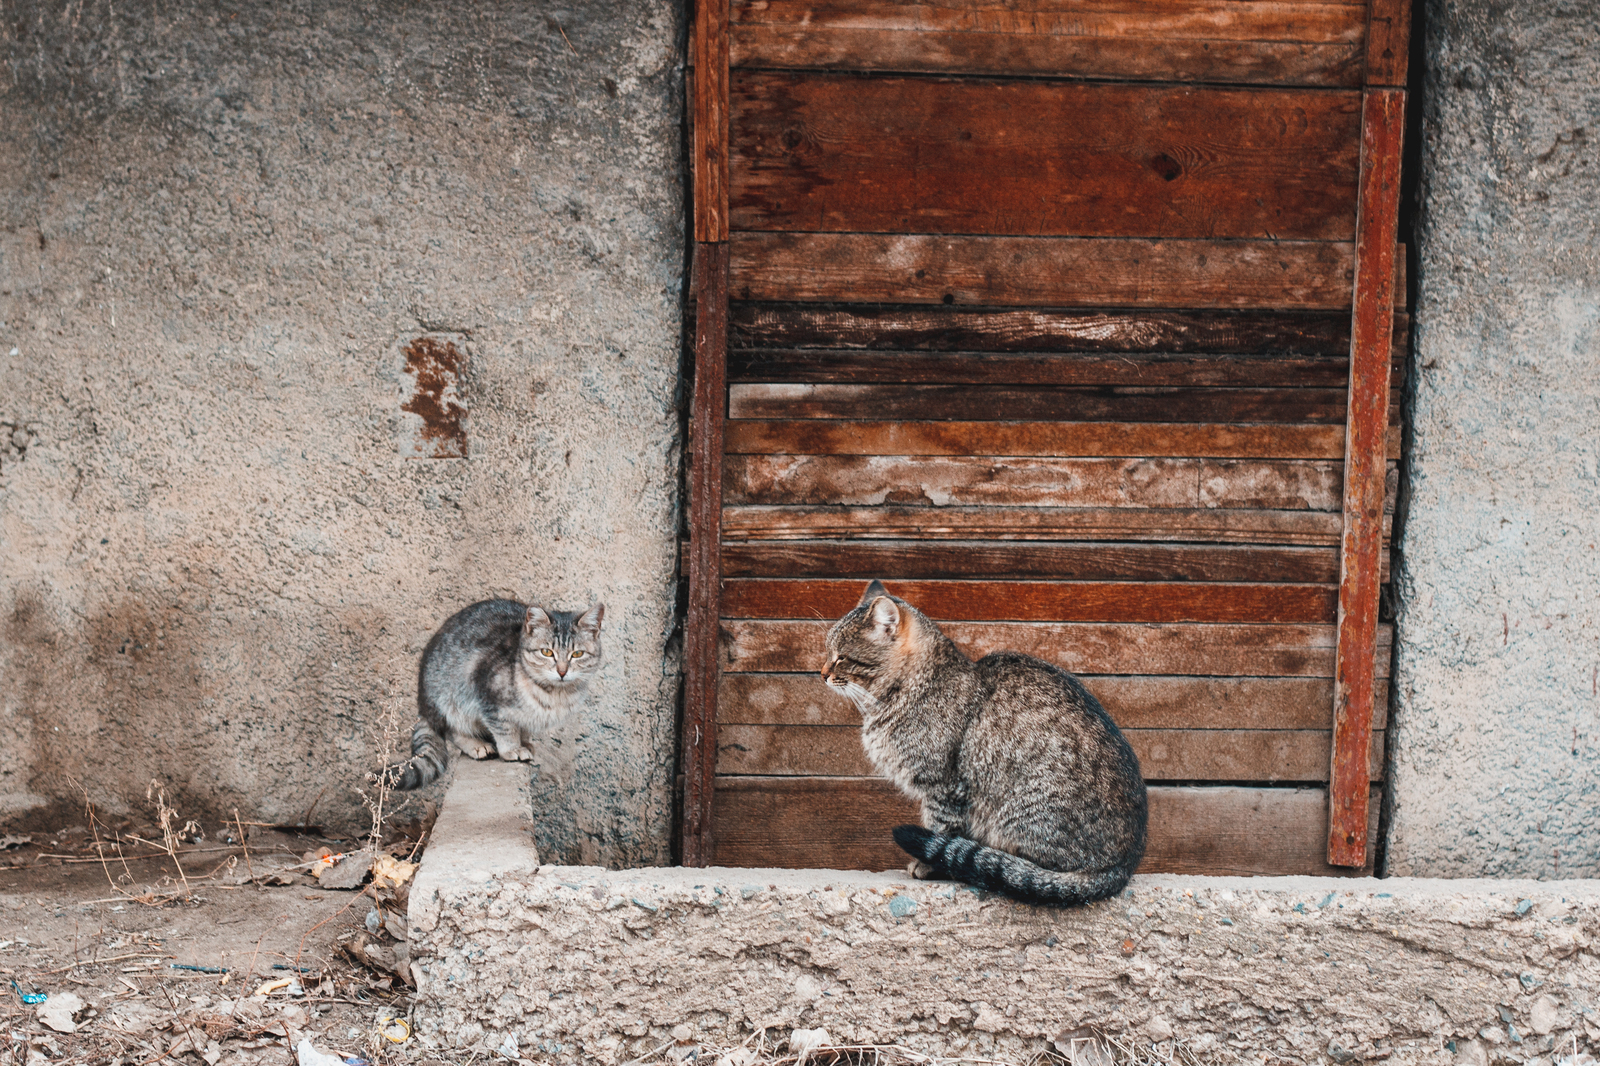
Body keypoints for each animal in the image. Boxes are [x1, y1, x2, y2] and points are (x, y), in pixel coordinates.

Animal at [384, 598, 601, 787]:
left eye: (577, 654)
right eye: (546, 652)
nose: (562, 671)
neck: (555, 694)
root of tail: (422, 701)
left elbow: (523, 727)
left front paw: (525, 742)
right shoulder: (487, 695)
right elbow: (504, 728)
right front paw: (513, 749)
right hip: (449, 696)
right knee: (452, 729)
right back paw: (476, 744)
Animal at [819, 582, 1145, 902]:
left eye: (841, 657)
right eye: (827, 653)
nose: (822, 673)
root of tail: (1124, 865)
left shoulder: (943, 786)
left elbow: (941, 828)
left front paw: (929, 865)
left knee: (1031, 871)